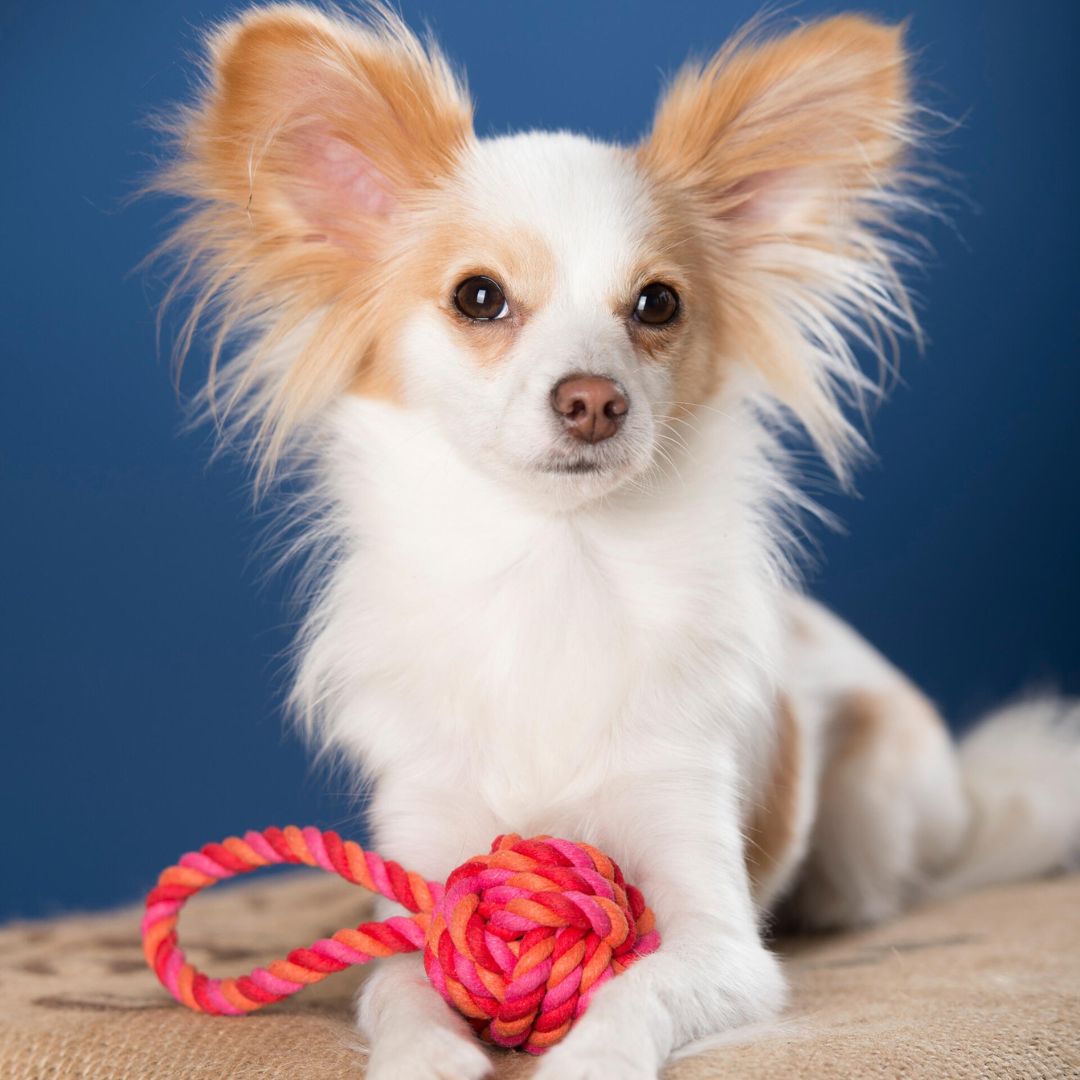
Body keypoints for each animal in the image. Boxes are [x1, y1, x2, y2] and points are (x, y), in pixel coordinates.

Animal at [154, 4, 1080, 1075]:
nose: (594, 399)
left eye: (658, 304)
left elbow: (639, 988)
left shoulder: (720, 936)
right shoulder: (422, 885)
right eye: (478, 297)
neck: (557, 564)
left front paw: (591, 1056)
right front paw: (428, 1058)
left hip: (878, 803)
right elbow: (403, 994)